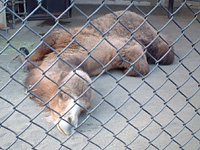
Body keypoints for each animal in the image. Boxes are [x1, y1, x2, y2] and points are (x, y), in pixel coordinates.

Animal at [21, 10, 174, 135]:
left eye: (84, 109)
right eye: (62, 94)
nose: (70, 122)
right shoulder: (63, 36)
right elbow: (39, 51)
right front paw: (25, 56)